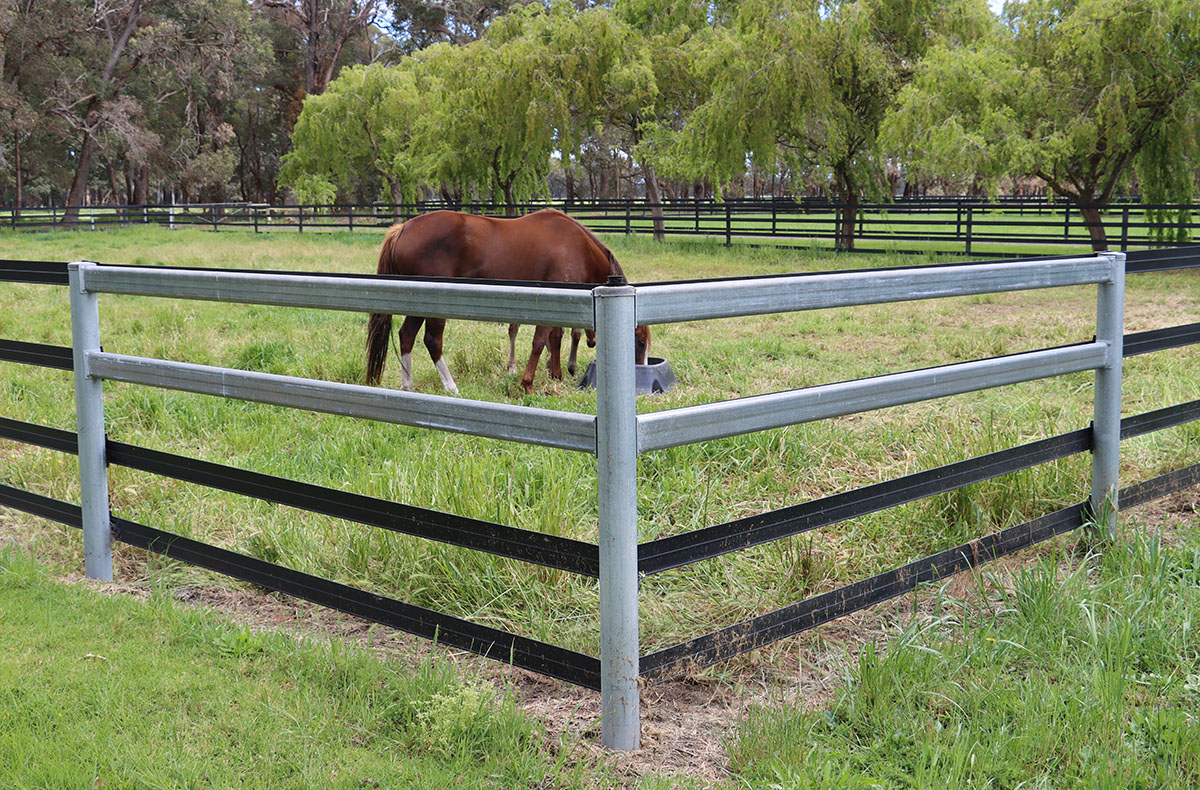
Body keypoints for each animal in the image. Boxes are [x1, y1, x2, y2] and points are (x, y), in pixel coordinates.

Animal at [362, 208, 648, 393]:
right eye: (641, 342)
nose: (640, 371)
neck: (579, 247)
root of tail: (402, 229)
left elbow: (555, 338)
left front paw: (554, 374)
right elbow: (541, 341)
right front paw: (528, 383)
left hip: (415, 303)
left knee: (406, 335)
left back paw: (408, 385)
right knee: (432, 341)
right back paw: (451, 386)